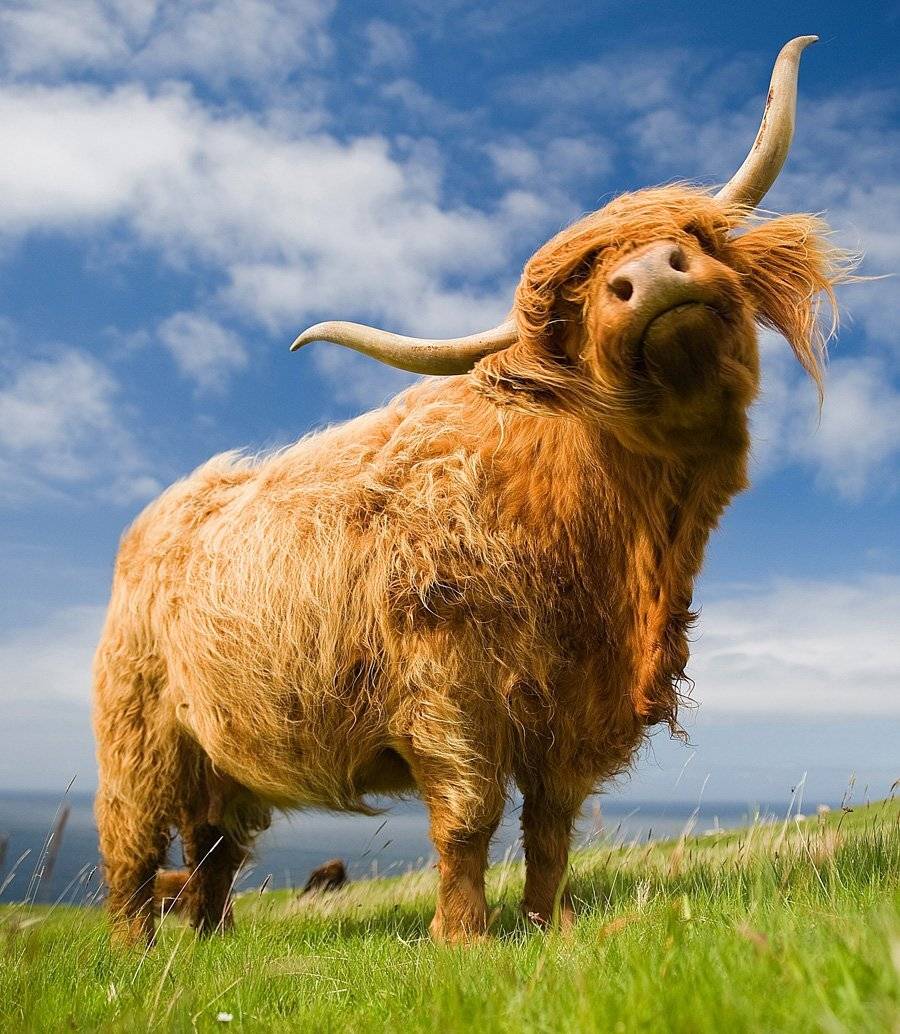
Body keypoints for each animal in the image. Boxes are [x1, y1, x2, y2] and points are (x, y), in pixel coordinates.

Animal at [93, 37, 851, 945]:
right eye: (570, 304)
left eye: (693, 235)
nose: (650, 276)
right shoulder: (449, 693)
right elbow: (470, 816)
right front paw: (464, 937)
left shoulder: (573, 709)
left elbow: (552, 824)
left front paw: (549, 922)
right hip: (138, 734)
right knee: (135, 849)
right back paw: (137, 952)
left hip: (223, 752)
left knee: (213, 846)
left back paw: (209, 942)